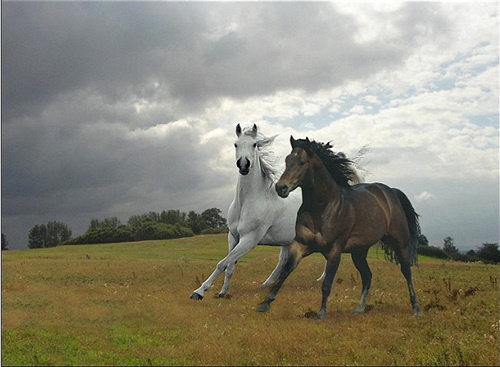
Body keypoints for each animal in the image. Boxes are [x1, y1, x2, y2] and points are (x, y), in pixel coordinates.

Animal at [189, 125, 366, 300]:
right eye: (235, 144)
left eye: (254, 144)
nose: (244, 165)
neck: (249, 201)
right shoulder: (233, 236)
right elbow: (229, 266)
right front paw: (222, 292)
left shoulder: (249, 239)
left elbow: (223, 263)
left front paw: (199, 292)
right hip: (288, 240)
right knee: (283, 261)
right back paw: (267, 284)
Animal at [256, 138, 424, 320]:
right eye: (287, 160)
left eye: (302, 162)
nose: (281, 188)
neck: (323, 207)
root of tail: (391, 192)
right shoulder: (300, 245)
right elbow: (284, 272)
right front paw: (265, 304)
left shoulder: (335, 250)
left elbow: (327, 283)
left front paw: (321, 313)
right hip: (359, 252)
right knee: (367, 276)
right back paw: (359, 308)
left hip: (400, 243)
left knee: (406, 271)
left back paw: (416, 308)